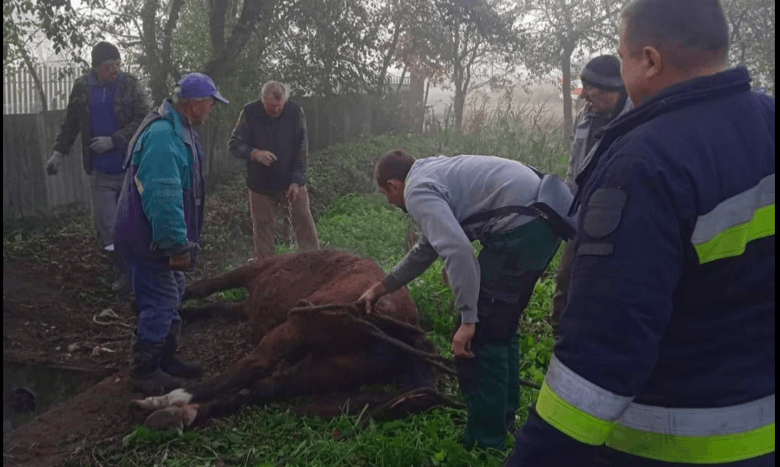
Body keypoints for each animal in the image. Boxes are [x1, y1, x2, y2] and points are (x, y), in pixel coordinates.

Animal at [131, 252, 442, 432]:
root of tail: (407, 326)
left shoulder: (249, 273)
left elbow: (207, 286)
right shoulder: (246, 307)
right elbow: (215, 306)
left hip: (295, 328)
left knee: (254, 367)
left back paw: (173, 398)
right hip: (325, 370)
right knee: (263, 389)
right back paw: (184, 413)